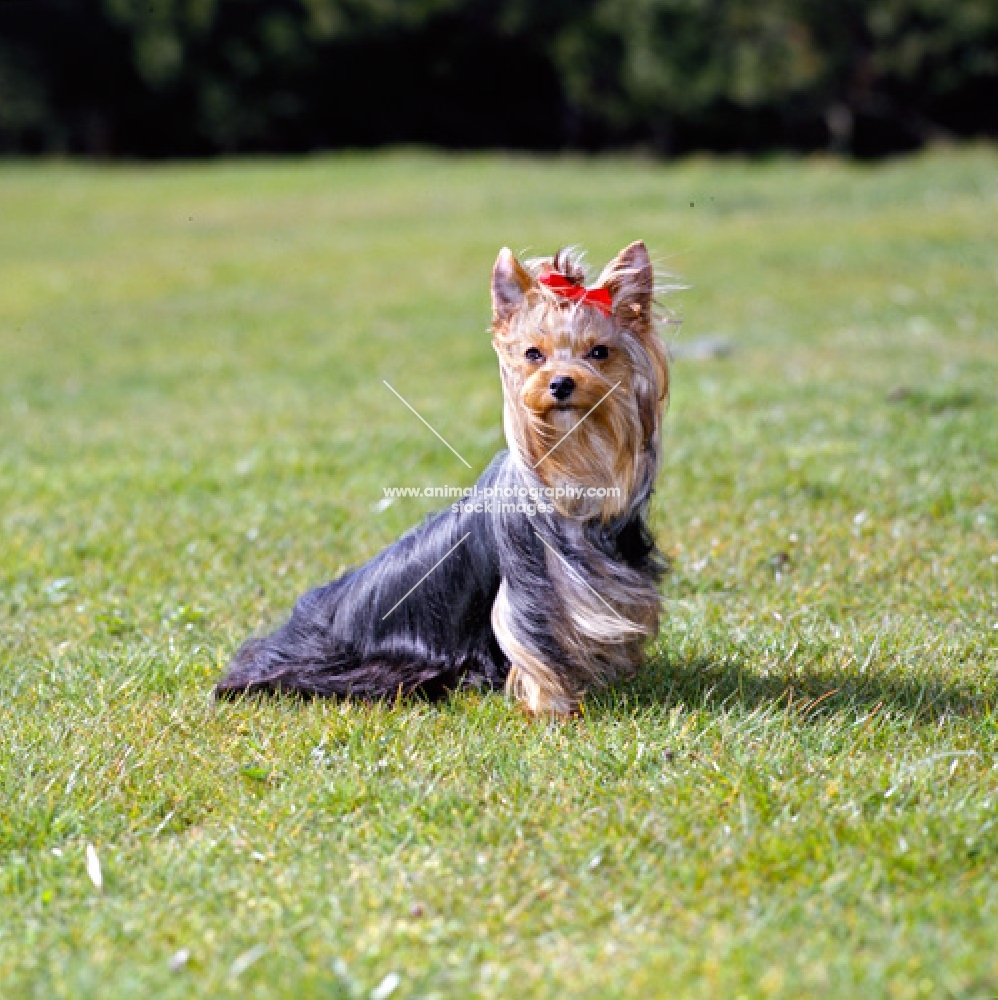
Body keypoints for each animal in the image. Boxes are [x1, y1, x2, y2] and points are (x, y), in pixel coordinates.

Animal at [218, 239, 672, 716]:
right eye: (533, 354)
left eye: (599, 352)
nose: (561, 384)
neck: (574, 454)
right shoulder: (529, 588)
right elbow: (533, 643)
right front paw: (553, 710)